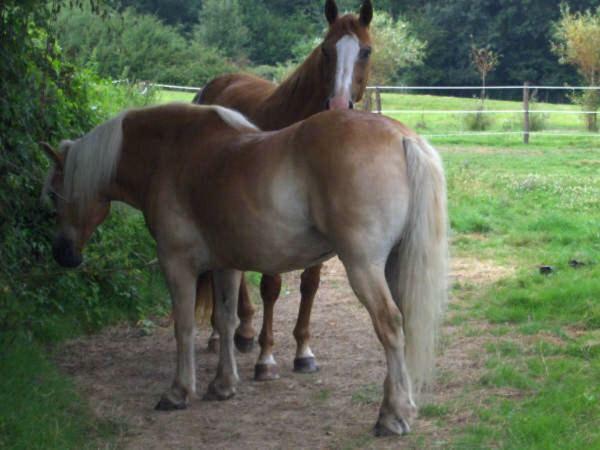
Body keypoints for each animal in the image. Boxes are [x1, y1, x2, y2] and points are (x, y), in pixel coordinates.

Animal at [42, 103, 448, 436]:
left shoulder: (177, 264)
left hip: (363, 266)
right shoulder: (226, 265)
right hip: (392, 266)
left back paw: (392, 416)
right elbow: (225, 320)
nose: (62, 253)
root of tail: (401, 136)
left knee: (390, 326)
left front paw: (178, 391)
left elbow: (184, 327)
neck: (172, 153)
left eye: (53, 194)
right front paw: (223, 385)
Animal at [196, 0, 376, 380]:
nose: (339, 106)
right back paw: (225, 334)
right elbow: (271, 287)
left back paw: (242, 331)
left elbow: (310, 284)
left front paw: (304, 352)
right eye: (325, 49)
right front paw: (266, 358)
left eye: (365, 51)